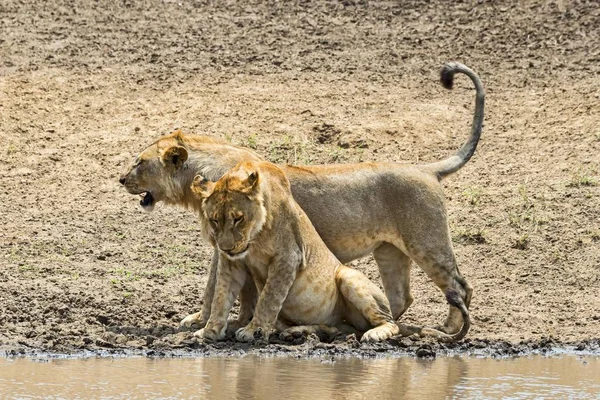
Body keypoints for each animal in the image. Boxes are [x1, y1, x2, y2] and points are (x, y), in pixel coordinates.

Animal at [190, 161, 472, 342]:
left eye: (238, 219)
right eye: (214, 220)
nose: (225, 247)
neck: (254, 238)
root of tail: (425, 170)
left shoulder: (289, 257)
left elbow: (269, 298)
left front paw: (252, 330)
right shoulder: (232, 264)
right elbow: (221, 296)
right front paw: (209, 332)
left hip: (359, 270)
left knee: (404, 315)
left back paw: (378, 333)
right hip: (390, 253)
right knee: (347, 325)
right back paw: (299, 332)